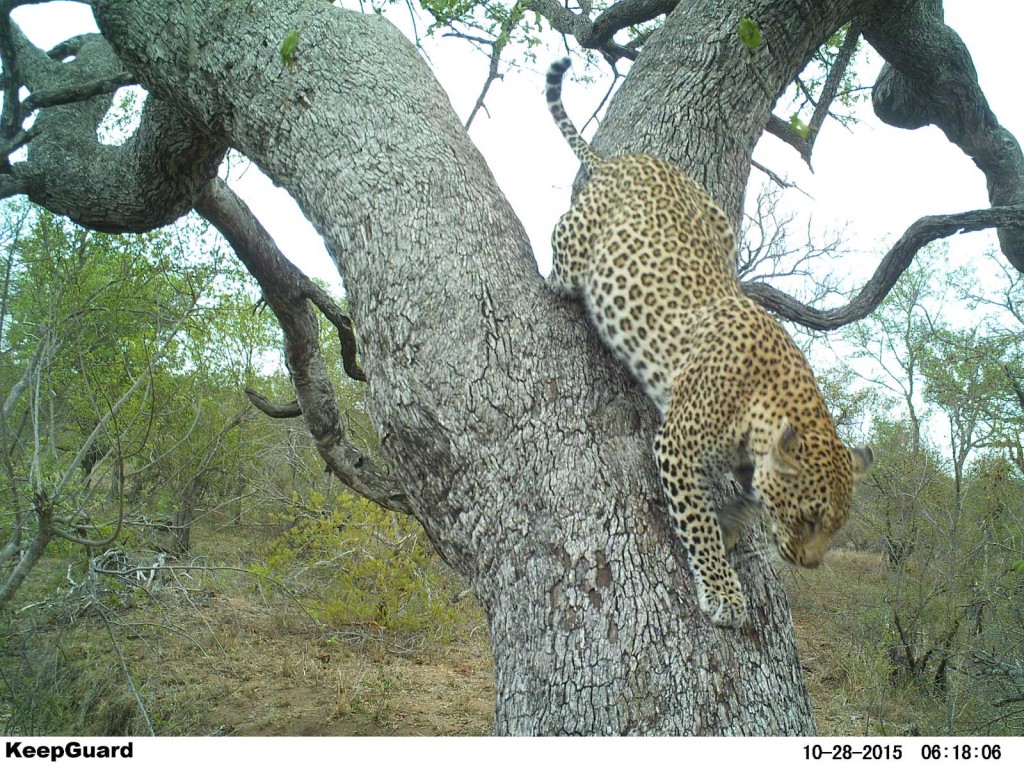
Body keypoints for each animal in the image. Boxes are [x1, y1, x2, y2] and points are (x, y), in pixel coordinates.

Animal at [544, 57, 874, 628]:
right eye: (810, 518)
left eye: (836, 526)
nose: (810, 565)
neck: (767, 402)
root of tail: (620, 161)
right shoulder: (677, 444)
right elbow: (696, 520)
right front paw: (723, 589)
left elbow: (749, 498)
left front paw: (736, 524)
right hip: (577, 249)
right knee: (558, 255)